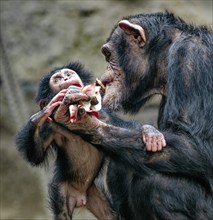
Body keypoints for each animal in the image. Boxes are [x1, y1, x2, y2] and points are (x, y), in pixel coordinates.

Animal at [53, 12, 213, 220]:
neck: (165, 56)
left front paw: (90, 124)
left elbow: (196, 145)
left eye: (108, 55)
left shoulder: (192, 57)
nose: (105, 74)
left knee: (156, 186)